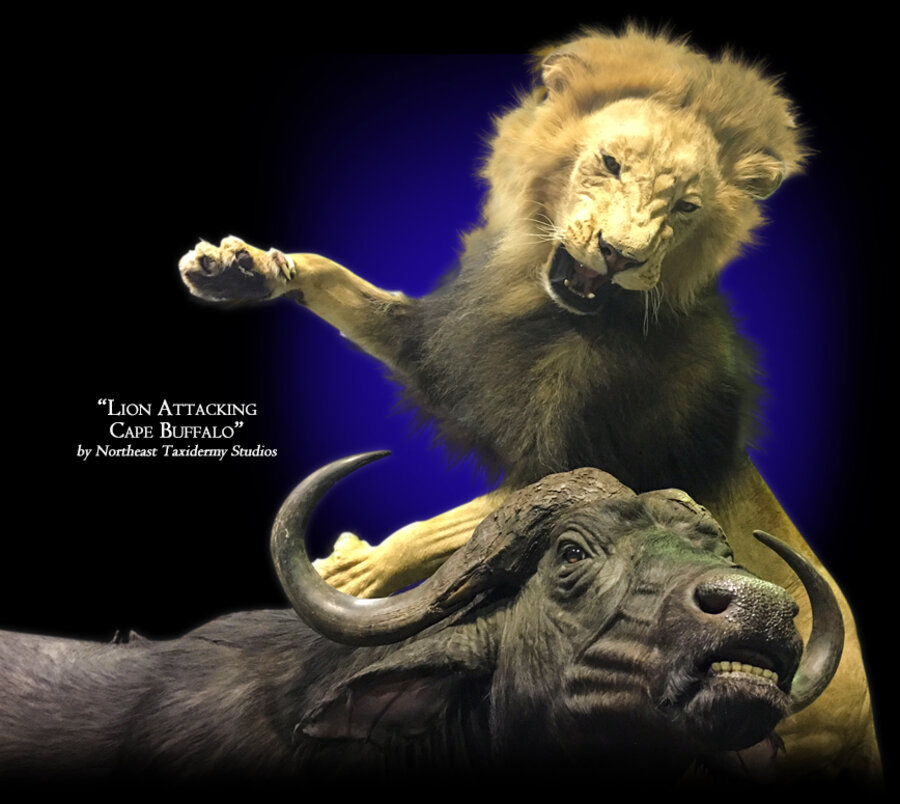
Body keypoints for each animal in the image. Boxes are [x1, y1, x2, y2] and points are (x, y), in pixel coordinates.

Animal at [179, 28, 881, 784]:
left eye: (686, 208)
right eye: (609, 163)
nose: (619, 254)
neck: (550, 312)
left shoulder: (616, 452)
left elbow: (461, 526)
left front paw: (358, 570)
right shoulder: (454, 350)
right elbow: (338, 284)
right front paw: (240, 269)